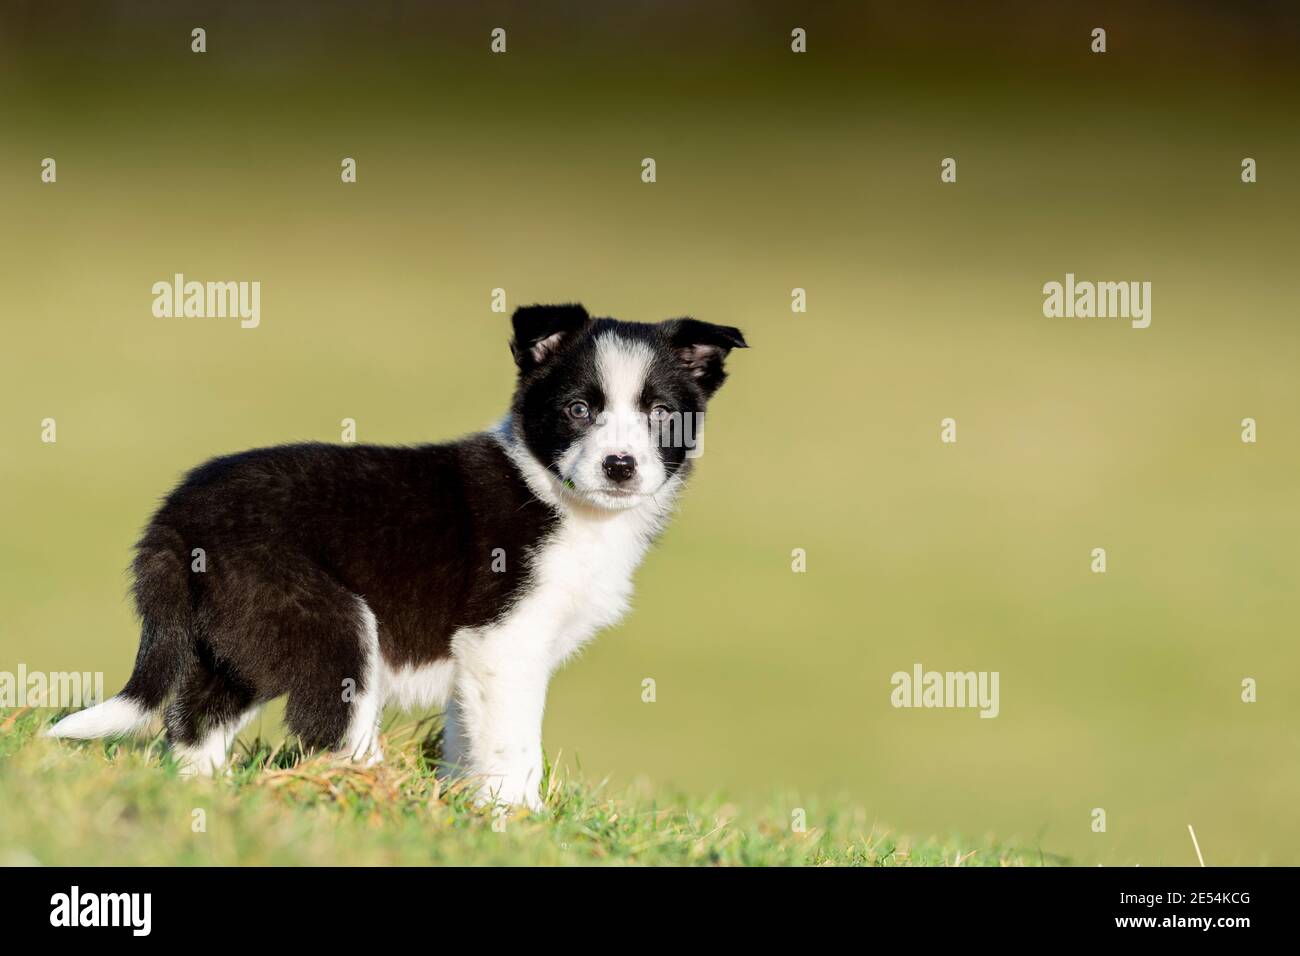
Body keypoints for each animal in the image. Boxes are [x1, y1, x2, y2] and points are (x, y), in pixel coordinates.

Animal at [50, 304, 748, 806]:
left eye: (661, 414)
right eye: (579, 409)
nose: (620, 466)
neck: (560, 496)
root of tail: (174, 519)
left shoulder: (481, 660)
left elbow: (472, 743)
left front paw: (465, 814)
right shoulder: (503, 641)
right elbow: (514, 749)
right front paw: (517, 824)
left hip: (242, 634)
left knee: (195, 721)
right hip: (330, 624)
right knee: (332, 732)